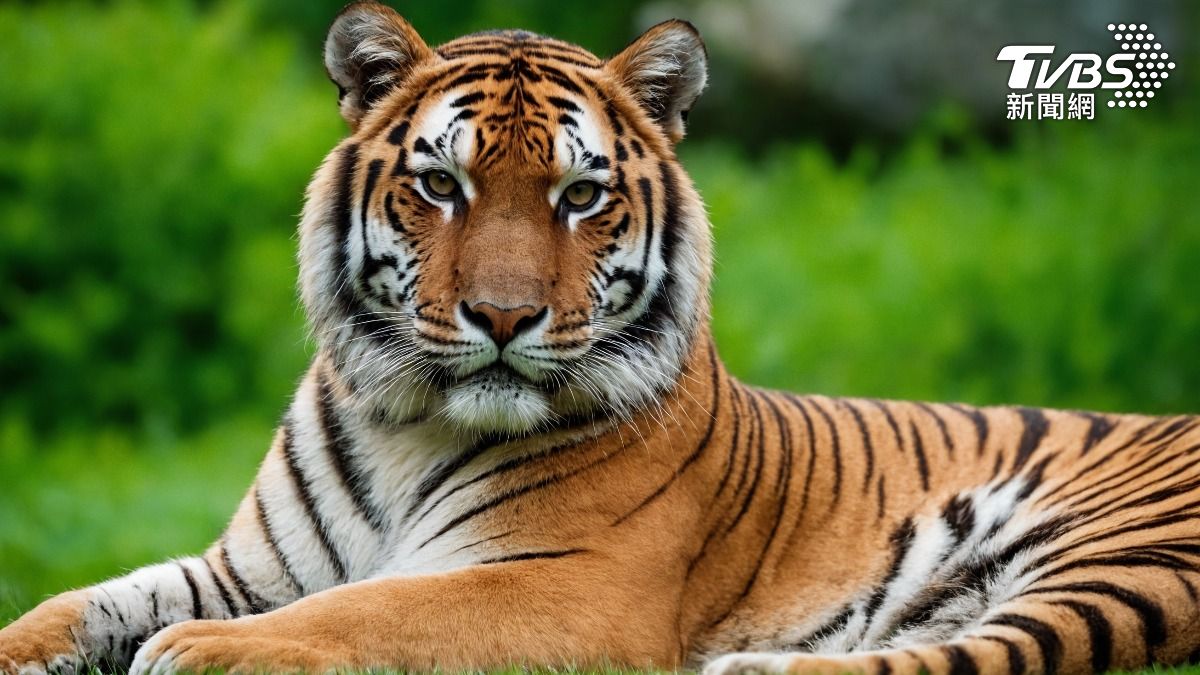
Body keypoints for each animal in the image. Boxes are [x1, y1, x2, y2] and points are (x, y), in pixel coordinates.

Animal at [2, 3, 1199, 674]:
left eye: (580, 196)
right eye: (442, 185)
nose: (502, 317)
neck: (405, 423)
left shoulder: (560, 583)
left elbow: (364, 611)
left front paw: (197, 652)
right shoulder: (246, 567)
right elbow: (82, 599)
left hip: (1119, 551)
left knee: (1000, 654)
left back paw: (753, 670)